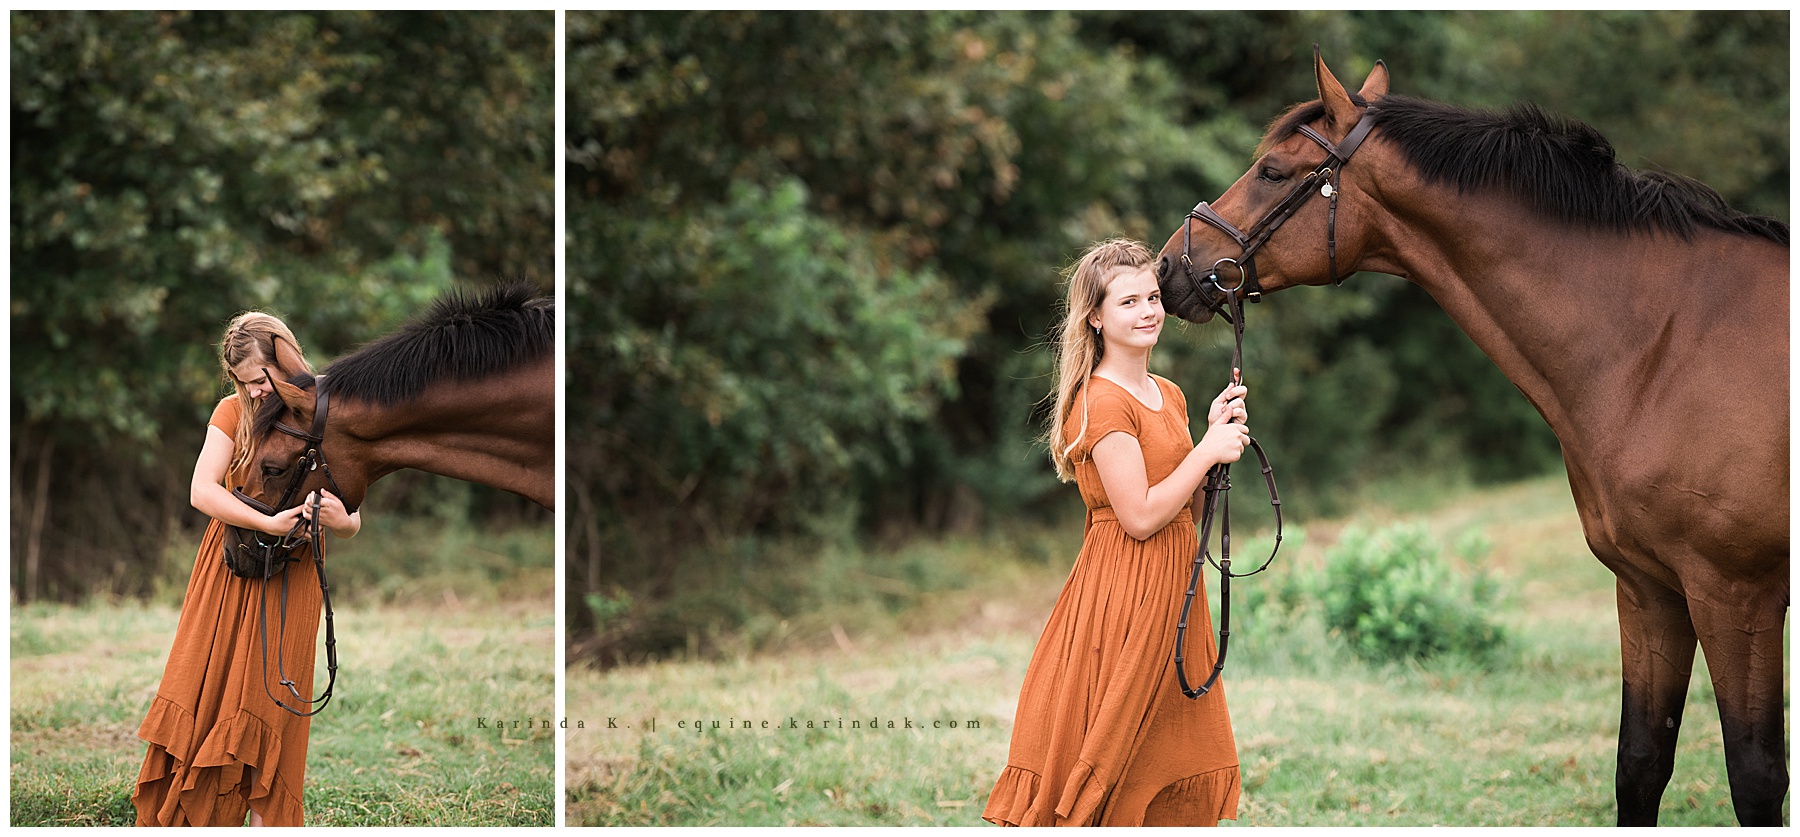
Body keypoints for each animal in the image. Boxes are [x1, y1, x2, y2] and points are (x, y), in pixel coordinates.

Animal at [1155, 49, 1787, 826]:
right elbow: (1641, 763)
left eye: (1273, 171)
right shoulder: (1650, 589)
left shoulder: (1736, 596)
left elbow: (1754, 777)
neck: (1665, 344)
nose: (1168, 268)